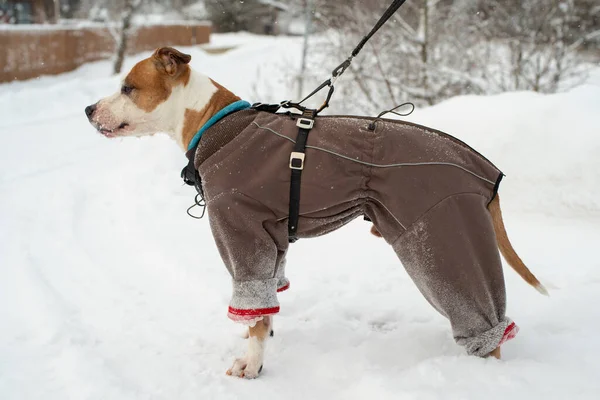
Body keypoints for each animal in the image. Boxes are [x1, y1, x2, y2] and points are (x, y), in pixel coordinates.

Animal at [85, 47, 548, 378]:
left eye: (128, 88)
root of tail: (483, 167)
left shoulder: (241, 232)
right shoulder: (271, 239)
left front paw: (251, 365)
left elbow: (252, 310)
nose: (88, 109)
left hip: (441, 234)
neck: (215, 124)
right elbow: (265, 306)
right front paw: (263, 336)